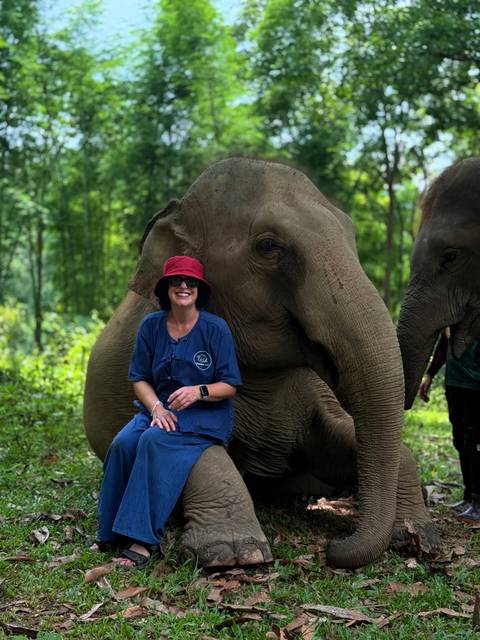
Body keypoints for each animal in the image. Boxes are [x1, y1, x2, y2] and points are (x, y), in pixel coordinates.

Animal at [84, 157, 436, 570]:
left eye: (350, 236)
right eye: (269, 245)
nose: (334, 549)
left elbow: (339, 440)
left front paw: (421, 535)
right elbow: (187, 441)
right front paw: (234, 553)